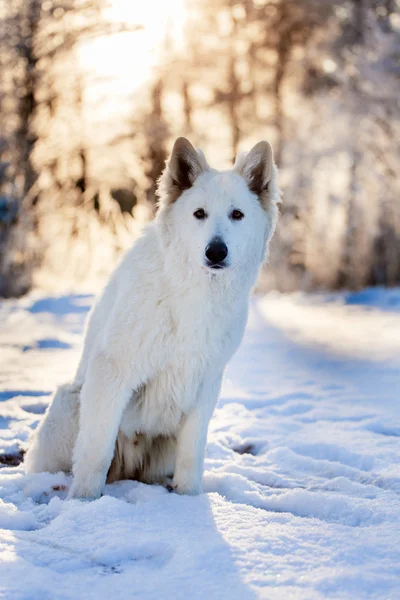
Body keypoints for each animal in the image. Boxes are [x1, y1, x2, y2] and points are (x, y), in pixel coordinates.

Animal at [25, 138, 280, 500]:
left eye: (237, 215)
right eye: (199, 214)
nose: (216, 252)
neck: (192, 292)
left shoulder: (206, 381)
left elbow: (191, 454)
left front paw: (188, 501)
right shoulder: (113, 370)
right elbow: (95, 450)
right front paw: (85, 502)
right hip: (69, 402)